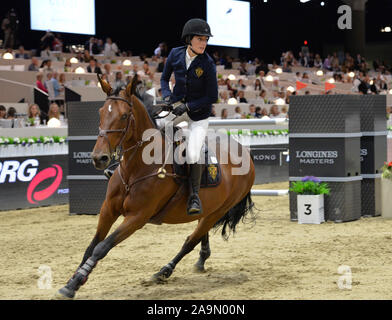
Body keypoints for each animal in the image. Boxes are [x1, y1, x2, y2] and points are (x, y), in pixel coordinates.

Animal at [56, 75, 256, 300]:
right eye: (100, 112)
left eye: (124, 116)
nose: (100, 158)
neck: (136, 168)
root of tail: (245, 154)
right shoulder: (108, 209)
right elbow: (91, 247)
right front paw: (73, 281)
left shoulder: (137, 217)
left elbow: (102, 247)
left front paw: (74, 283)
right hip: (210, 209)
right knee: (198, 231)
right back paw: (201, 259)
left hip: (218, 211)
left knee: (190, 241)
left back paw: (164, 271)